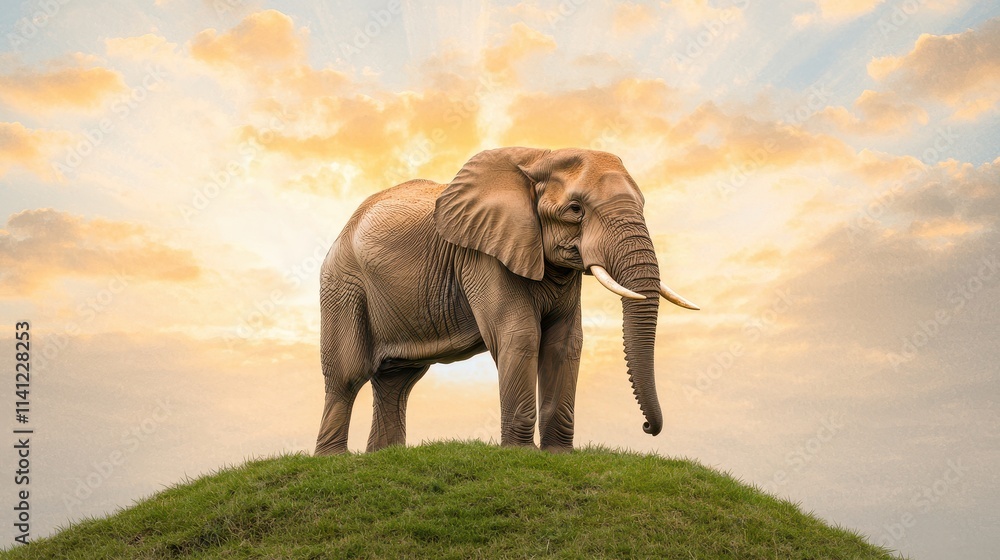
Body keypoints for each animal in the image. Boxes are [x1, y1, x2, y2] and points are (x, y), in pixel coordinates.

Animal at [314, 147, 698, 455]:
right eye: (575, 209)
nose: (648, 428)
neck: (540, 157)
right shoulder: (483, 254)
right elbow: (519, 335)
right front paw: (521, 453)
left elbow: (565, 343)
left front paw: (559, 455)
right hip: (343, 282)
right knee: (348, 375)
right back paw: (333, 459)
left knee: (398, 381)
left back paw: (384, 457)